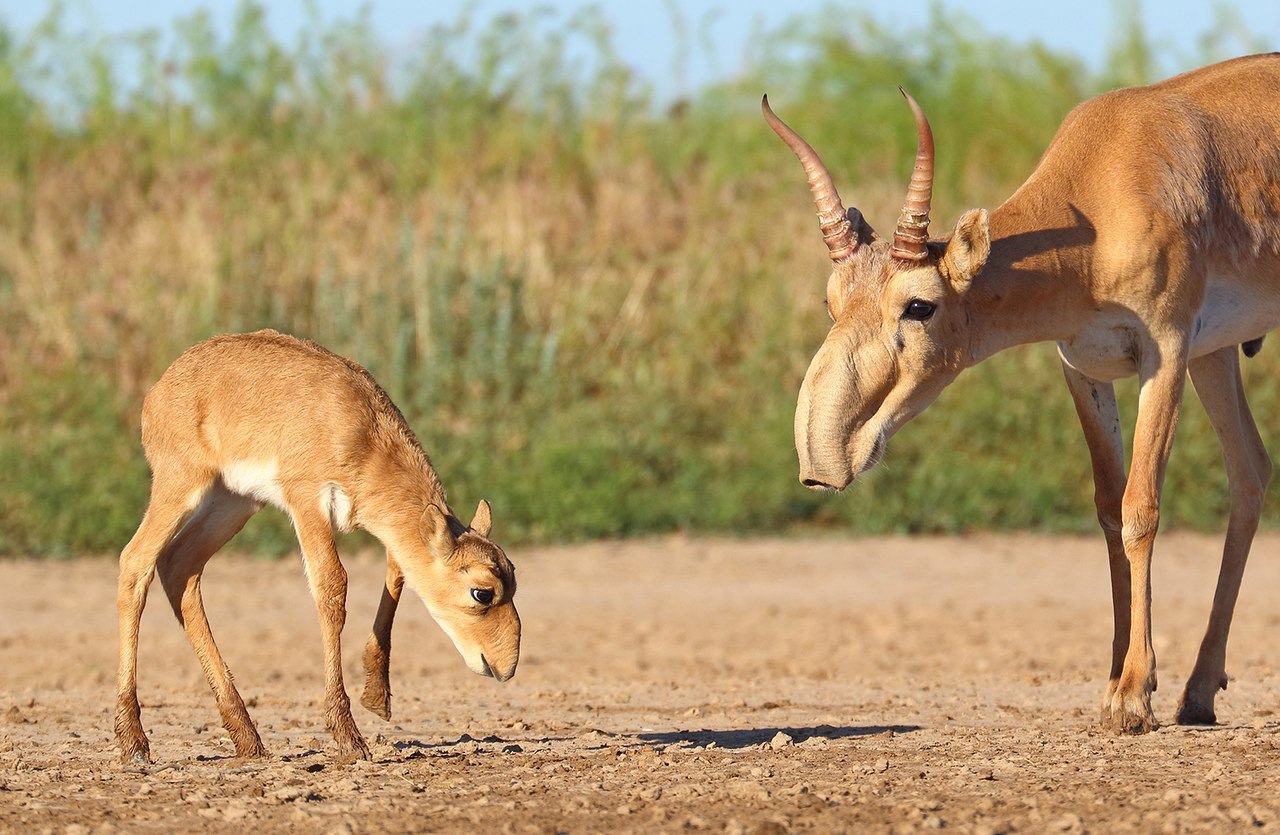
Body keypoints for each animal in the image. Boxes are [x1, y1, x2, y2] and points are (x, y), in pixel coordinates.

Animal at [115, 330, 519, 758]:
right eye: (482, 592)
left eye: (513, 574)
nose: (506, 667)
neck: (360, 428)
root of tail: (161, 387)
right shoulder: (307, 501)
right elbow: (332, 587)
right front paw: (348, 736)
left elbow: (398, 571)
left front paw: (377, 698)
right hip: (181, 486)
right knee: (135, 561)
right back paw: (134, 739)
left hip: (233, 503)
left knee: (179, 566)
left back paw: (247, 737)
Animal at [762, 53, 1280, 732]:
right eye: (832, 302)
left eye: (919, 305)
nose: (824, 462)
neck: (1104, 191)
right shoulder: (1083, 367)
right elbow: (1109, 508)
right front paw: (1115, 682)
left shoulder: (1164, 353)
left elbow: (1141, 509)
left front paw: (1133, 697)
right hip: (1217, 355)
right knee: (1251, 468)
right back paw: (1198, 693)